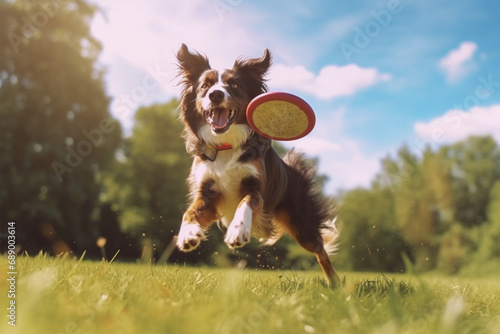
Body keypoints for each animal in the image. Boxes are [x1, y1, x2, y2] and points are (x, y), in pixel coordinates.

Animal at [175, 43, 340, 286]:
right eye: (205, 86)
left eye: (234, 84)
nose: (215, 94)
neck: (226, 145)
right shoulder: (207, 194)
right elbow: (189, 212)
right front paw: (187, 234)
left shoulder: (256, 187)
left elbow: (245, 203)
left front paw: (237, 232)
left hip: (302, 225)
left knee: (320, 251)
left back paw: (336, 284)